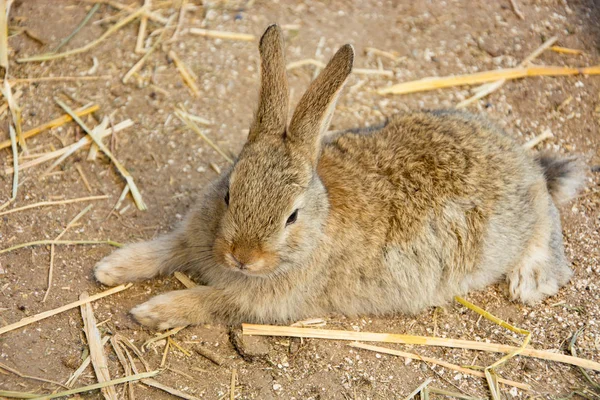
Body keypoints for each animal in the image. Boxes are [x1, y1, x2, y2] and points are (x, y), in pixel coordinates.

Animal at [94, 25, 584, 332]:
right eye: (230, 193)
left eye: (291, 216)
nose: (243, 258)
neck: (320, 219)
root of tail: (524, 163)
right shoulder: (194, 237)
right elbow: (166, 248)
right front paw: (112, 268)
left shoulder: (259, 301)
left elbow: (207, 301)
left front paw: (151, 312)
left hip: (521, 223)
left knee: (548, 224)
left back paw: (530, 280)